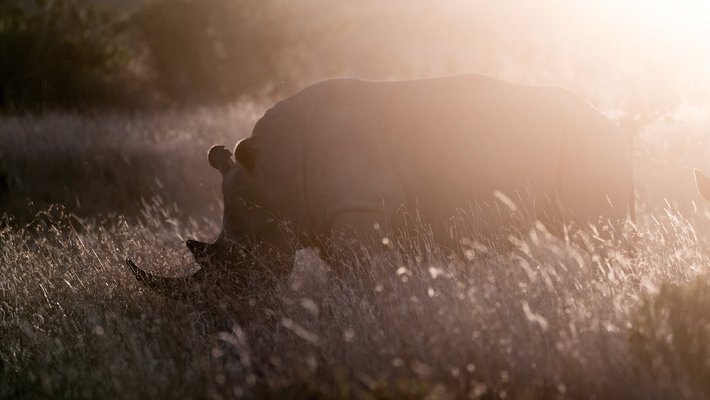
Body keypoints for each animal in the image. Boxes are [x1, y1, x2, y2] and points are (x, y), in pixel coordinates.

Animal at [127, 74, 634, 290]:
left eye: (244, 259)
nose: (226, 312)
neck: (275, 173)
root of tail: (613, 121)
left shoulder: (358, 208)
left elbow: (356, 278)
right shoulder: (331, 217)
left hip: (591, 145)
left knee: (598, 234)